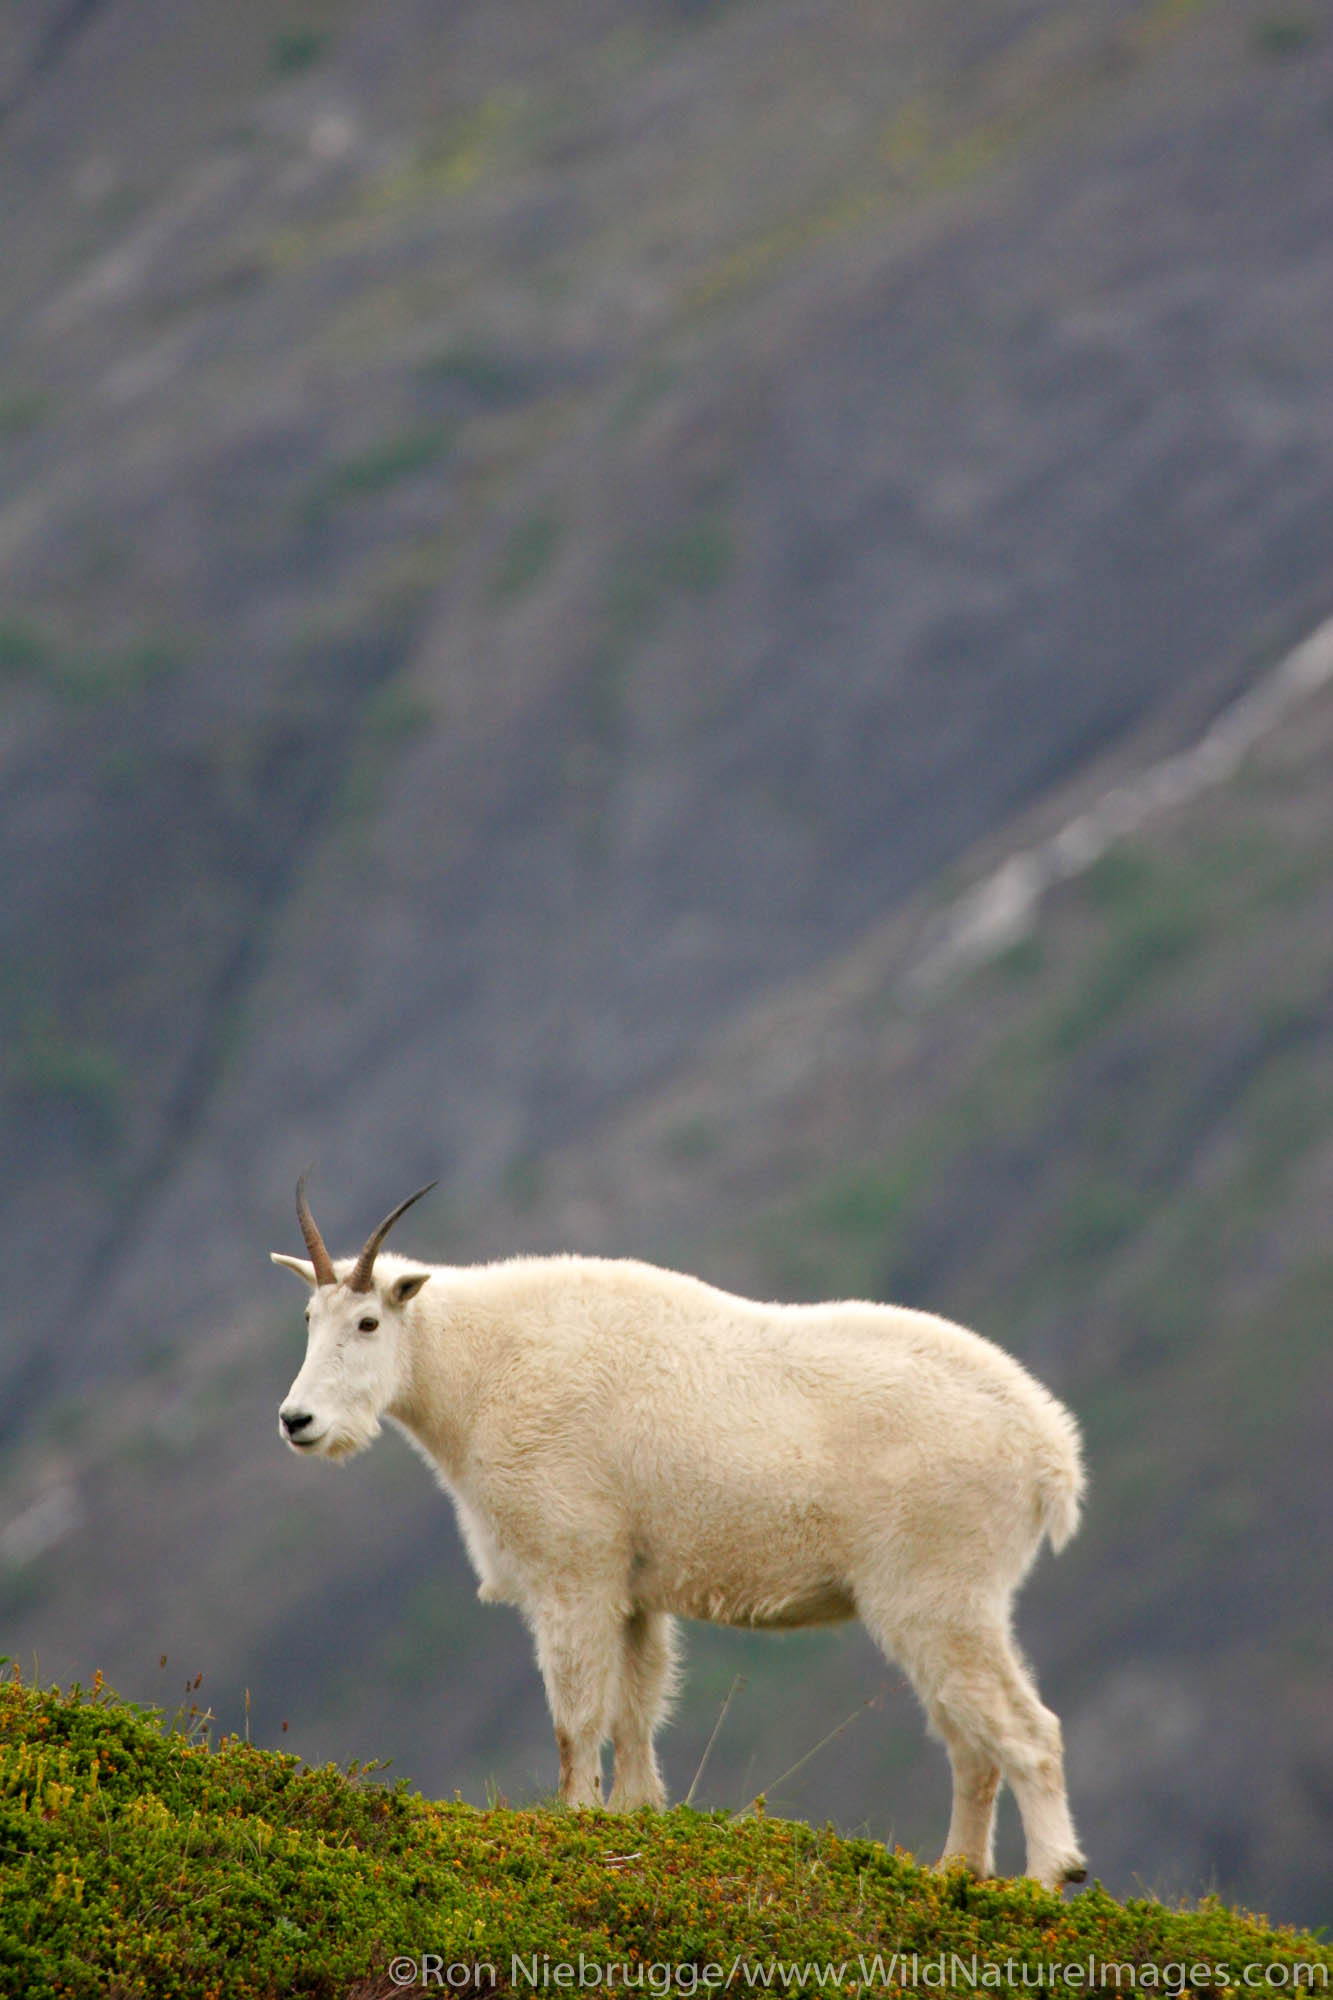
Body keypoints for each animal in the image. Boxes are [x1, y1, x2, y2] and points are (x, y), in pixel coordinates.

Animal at [274, 1168, 1088, 1888]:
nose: (297, 1421)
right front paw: (635, 1816)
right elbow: (635, 1712)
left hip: (938, 1590)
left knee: (1025, 1730)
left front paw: (575, 1822)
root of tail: (1049, 1449)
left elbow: (577, 1716)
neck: (476, 1373)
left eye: (368, 1322)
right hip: (945, 1600)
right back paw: (956, 1872)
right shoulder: (634, 1592)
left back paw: (1049, 1877)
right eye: (309, 1320)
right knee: (967, 1742)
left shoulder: (573, 1571)